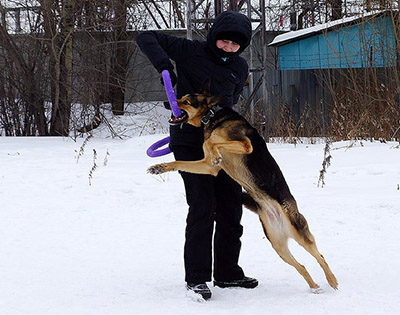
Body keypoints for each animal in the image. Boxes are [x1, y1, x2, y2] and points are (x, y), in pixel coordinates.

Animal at [148, 81, 340, 294]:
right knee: (302, 266)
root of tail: (276, 214)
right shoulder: (208, 167)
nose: (166, 102)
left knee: (320, 256)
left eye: (187, 101)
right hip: (278, 246)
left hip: (301, 233)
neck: (211, 117)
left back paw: (332, 280)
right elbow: (181, 161)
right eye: (180, 96)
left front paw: (215, 149)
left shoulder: (245, 145)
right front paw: (159, 167)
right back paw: (314, 287)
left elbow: (212, 141)